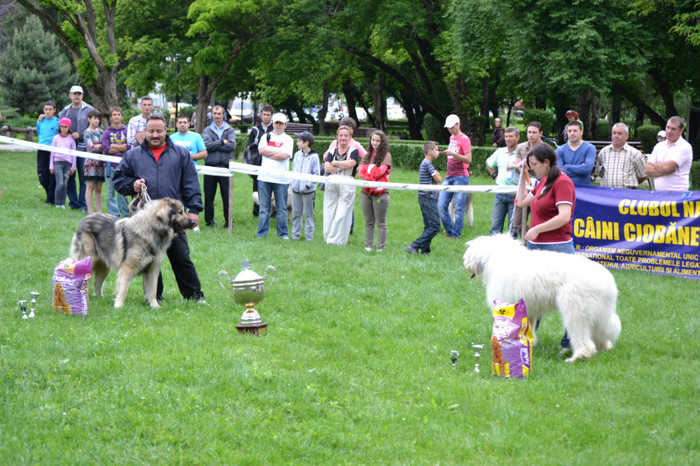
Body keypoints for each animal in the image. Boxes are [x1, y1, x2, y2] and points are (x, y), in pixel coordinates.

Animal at [464, 235, 616, 362]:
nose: (464, 263)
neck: (496, 258)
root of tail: (608, 282)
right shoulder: (529, 309)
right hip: (598, 313)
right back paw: (603, 348)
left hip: (576, 312)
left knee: (583, 338)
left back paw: (579, 356)